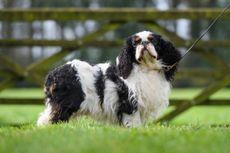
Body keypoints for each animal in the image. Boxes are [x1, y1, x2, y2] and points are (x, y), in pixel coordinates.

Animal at [37, 30, 181, 127]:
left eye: (153, 40)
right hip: (66, 105)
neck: (145, 69)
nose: (144, 43)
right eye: (135, 43)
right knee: (51, 120)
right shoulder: (129, 104)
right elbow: (134, 123)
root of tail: (53, 74)